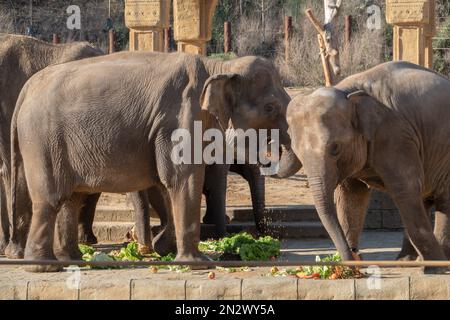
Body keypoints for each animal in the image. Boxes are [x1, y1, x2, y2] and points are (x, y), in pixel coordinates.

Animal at [12, 51, 294, 272]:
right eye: (270, 108)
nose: (268, 235)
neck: (219, 66)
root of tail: (26, 89)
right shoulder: (181, 118)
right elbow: (184, 178)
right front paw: (197, 263)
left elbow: (168, 183)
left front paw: (164, 249)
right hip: (42, 141)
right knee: (50, 200)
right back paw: (44, 267)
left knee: (71, 199)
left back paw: (73, 261)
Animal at [284, 61, 450, 274]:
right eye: (297, 151)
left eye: (335, 148)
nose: (353, 262)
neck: (348, 93)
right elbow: (352, 197)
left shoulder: (395, 136)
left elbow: (405, 188)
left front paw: (436, 269)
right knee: (425, 199)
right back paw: (405, 261)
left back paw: (435, 264)